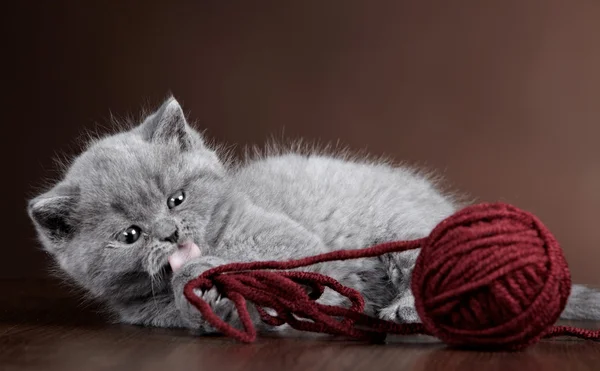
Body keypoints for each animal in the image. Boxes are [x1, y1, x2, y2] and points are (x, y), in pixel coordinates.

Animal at [28, 97, 600, 336]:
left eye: (177, 200)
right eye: (131, 234)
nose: (169, 234)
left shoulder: (300, 248)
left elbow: (299, 275)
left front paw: (202, 269)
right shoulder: (145, 312)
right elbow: (186, 312)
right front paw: (205, 297)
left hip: (402, 233)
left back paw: (402, 311)